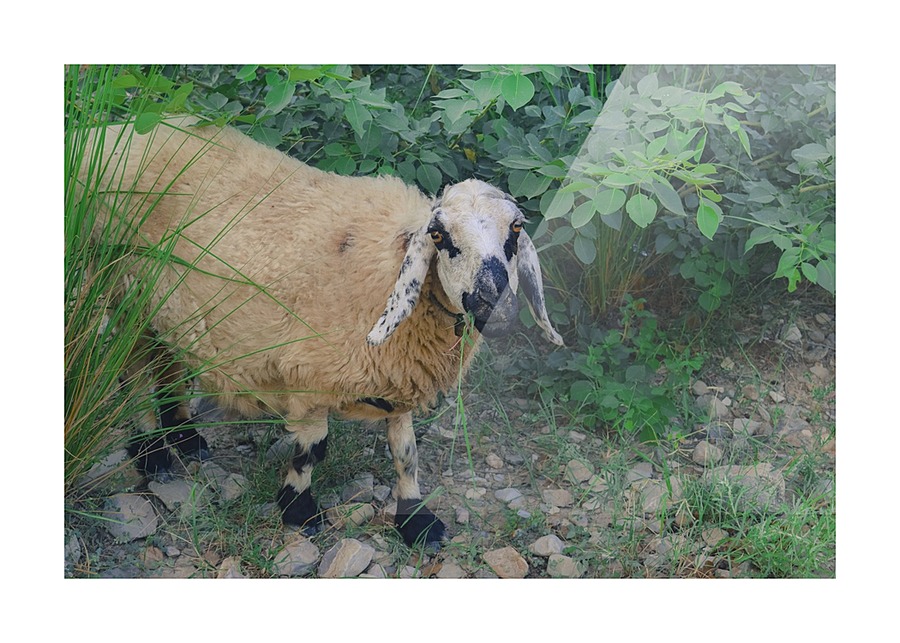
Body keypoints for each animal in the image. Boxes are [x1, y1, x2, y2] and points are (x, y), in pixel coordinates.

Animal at [86, 115, 563, 548]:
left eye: (516, 228)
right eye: (439, 236)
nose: (492, 306)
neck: (385, 265)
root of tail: (112, 131)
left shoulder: (397, 378)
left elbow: (405, 453)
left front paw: (417, 520)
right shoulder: (308, 375)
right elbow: (312, 450)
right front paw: (299, 511)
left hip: (168, 306)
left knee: (167, 362)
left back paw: (184, 435)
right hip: (119, 288)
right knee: (132, 373)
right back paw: (152, 454)